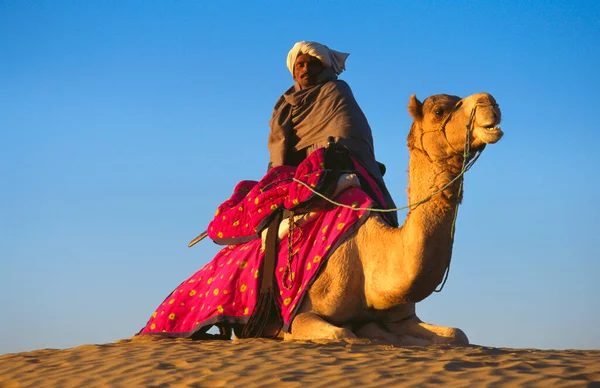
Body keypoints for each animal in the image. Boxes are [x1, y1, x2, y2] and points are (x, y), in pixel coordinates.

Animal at [255, 91, 504, 346]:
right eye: (439, 111)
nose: (489, 102)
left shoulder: (403, 317)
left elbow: (457, 334)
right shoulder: (298, 317)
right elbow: (344, 333)